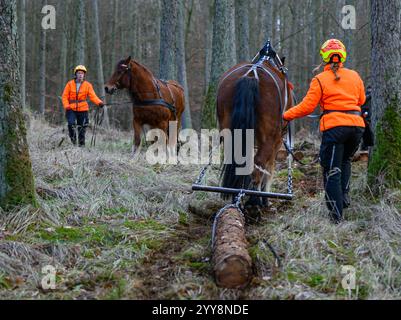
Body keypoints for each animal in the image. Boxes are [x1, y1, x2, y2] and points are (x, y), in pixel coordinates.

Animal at [217, 57, 292, 210]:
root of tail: (251, 75)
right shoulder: (277, 141)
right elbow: (269, 167)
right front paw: (265, 198)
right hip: (270, 137)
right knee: (259, 163)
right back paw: (255, 200)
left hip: (228, 130)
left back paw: (236, 197)